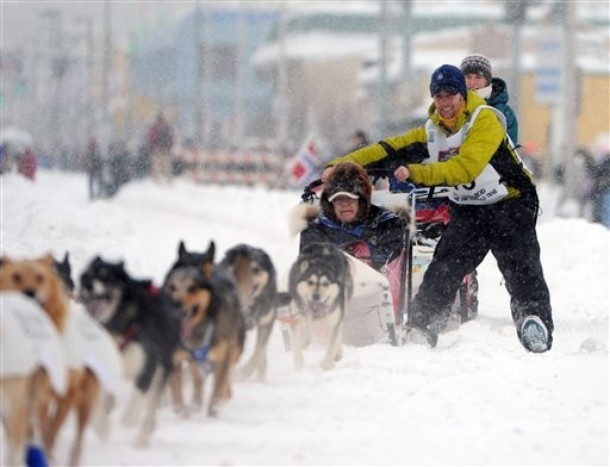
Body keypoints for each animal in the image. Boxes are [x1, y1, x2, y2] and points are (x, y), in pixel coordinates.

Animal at [78, 258, 180, 448]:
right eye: (87, 275)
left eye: (106, 277)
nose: (87, 285)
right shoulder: (101, 369)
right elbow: (97, 405)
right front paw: (102, 428)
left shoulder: (148, 364)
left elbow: (138, 396)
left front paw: (128, 419)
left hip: (161, 372)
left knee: (149, 412)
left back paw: (141, 439)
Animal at [284, 243, 352, 372]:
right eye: (310, 282)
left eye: (326, 283)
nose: (316, 296)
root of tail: (325, 244)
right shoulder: (295, 320)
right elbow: (296, 347)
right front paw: (299, 368)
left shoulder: (334, 322)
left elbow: (331, 347)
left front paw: (325, 367)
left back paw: (338, 354)